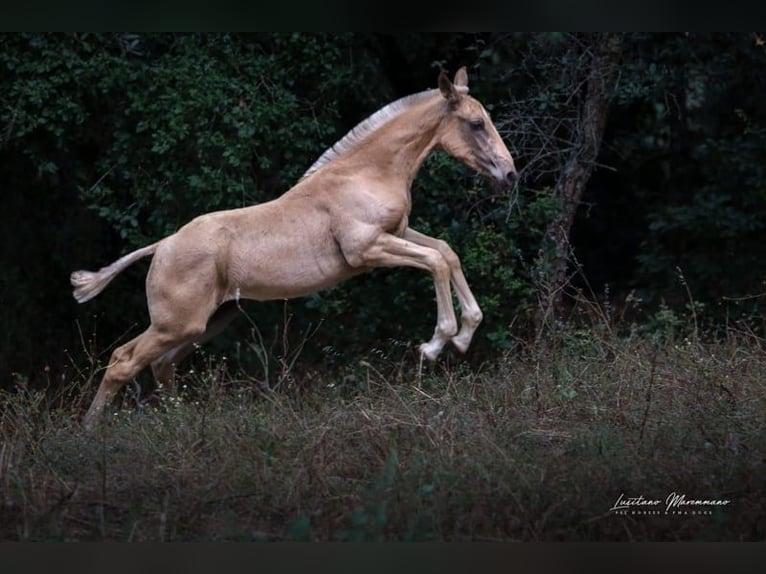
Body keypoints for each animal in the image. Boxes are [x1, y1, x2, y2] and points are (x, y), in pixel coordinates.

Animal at [72, 67, 520, 430]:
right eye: (476, 123)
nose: (510, 174)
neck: (365, 173)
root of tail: (162, 245)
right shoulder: (367, 250)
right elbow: (435, 262)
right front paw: (436, 344)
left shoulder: (399, 232)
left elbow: (446, 251)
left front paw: (464, 335)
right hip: (176, 324)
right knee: (123, 361)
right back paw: (90, 433)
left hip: (206, 323)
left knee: (159, 365)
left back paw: (177, 426)